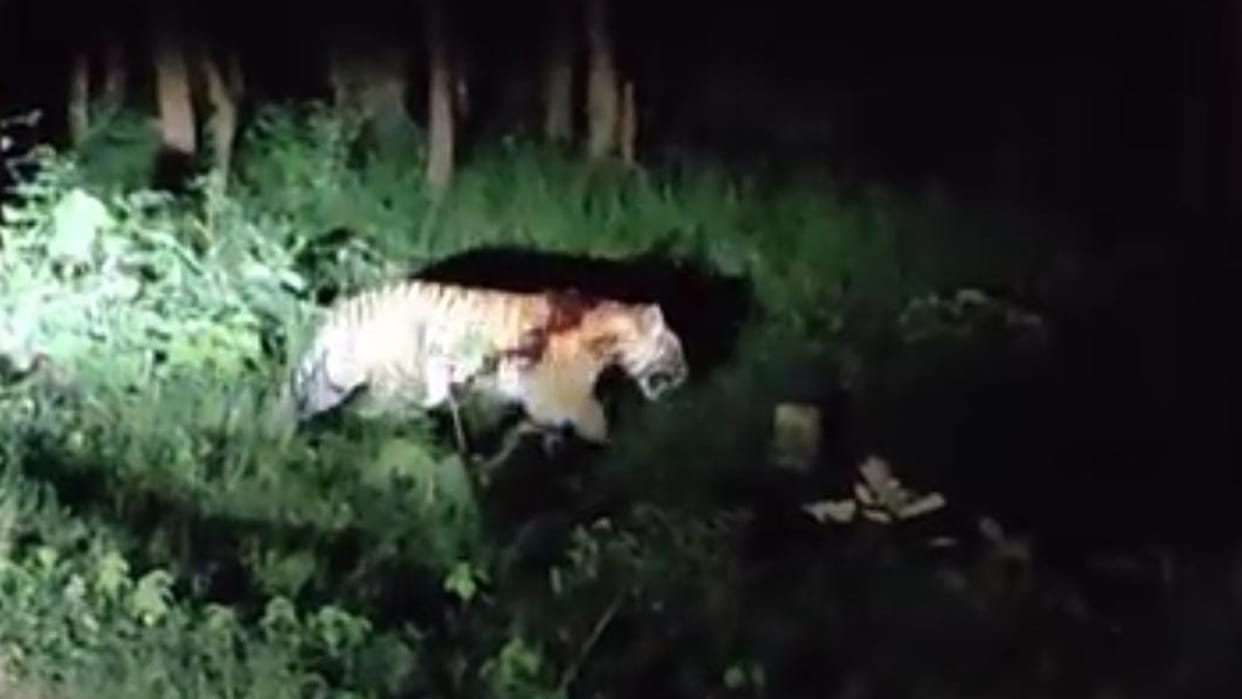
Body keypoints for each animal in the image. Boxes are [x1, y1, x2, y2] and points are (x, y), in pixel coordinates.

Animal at [288, 278, 689, 453]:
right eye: (676, 351)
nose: (686, 374)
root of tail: (348, 307)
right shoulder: (561, 395)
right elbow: (596, 421)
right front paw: (613, 445)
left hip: (331, 380)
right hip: (396, 383)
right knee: (373, 417)